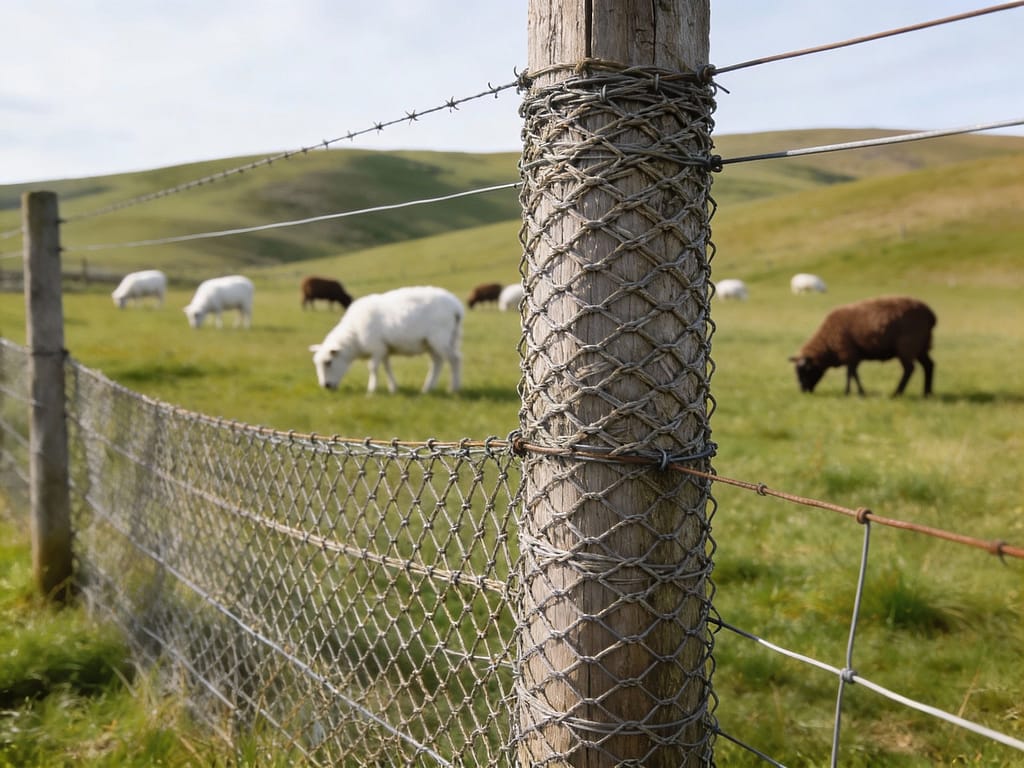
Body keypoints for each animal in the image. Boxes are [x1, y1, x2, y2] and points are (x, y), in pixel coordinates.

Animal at [310, 285, 463, 394]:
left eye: (328, 362)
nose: (326, 386)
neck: (354, 337)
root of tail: (456, 307)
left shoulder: (376, 346)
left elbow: (372, 367)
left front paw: (371, 390)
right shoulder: (384, 348)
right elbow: (387, 367)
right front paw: (393, 388)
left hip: (440, 338)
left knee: (454, 360)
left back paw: (453, 389)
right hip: (438, 341)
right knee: (438, 362)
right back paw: (427, 389)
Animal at [789, 296, 936, 397]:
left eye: (805, 371)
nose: (802, 391)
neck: (828, 343)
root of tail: (931, 315)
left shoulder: (848, 352)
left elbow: (851, 374)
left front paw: (853, 392)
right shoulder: (853, 356)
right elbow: (852, 374)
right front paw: (854, 392)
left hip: (907, 346)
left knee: (909, 369)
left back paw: (897, 393)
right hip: (921, 346)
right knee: (929, 365)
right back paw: (926, 393)